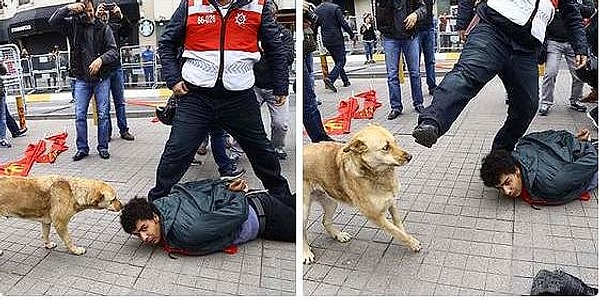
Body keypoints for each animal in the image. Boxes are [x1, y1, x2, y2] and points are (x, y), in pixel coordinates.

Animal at [304, 123, 422, 264]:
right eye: (386, 147)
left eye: (395, 142)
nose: (410, 157)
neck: (375, 174)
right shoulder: (375, 216)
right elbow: (396, 231)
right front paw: (412, 242)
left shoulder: (391, 202)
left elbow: (399, 225)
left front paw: (408, 240)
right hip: (304, 210)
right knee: (302, 232)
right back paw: (306, 253)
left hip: (331, 201)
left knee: (325, 221)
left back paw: (339, 235)